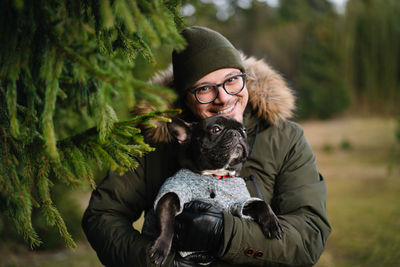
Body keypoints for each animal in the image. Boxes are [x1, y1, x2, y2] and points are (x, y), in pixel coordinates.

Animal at [147, 116, 282, 266]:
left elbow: (260, 204)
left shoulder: (238, 204)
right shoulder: (173, 193)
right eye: (216, 129)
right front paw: (161, 247)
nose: (237, 133)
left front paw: (272, 223)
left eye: (244, 130)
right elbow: (167, 221)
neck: (216, 175)